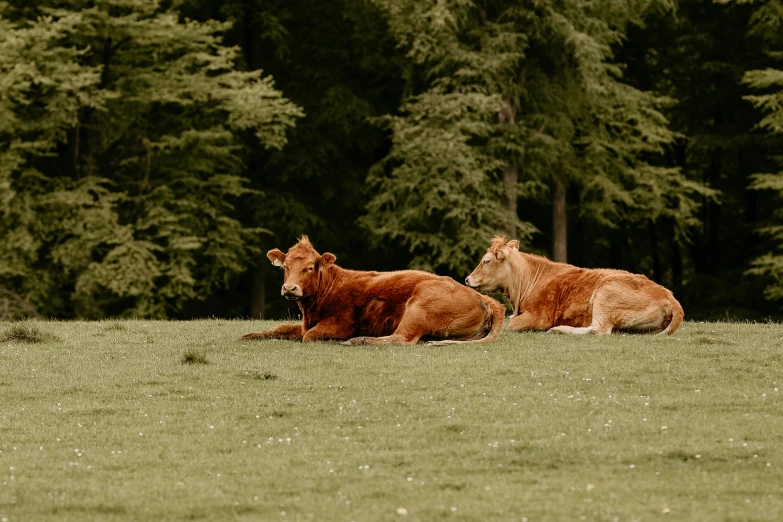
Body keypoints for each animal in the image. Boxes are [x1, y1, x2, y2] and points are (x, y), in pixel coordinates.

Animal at [242, 235, 506, 342]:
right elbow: (279, 328)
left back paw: (360, 340)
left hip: (420, 306)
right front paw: (251, 335)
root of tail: (481, 296)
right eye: (285, 266)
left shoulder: (340, 323)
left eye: (309, 267)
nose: (290, 288)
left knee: (401, 338)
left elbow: (308, 336)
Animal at [466, 236, 688, 334]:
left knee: (598, 329)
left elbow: (512, 325)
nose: (467, 279)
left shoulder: (539, 316)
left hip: (606, 295)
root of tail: (668, 295)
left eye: (486, 261)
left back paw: (559, 329)